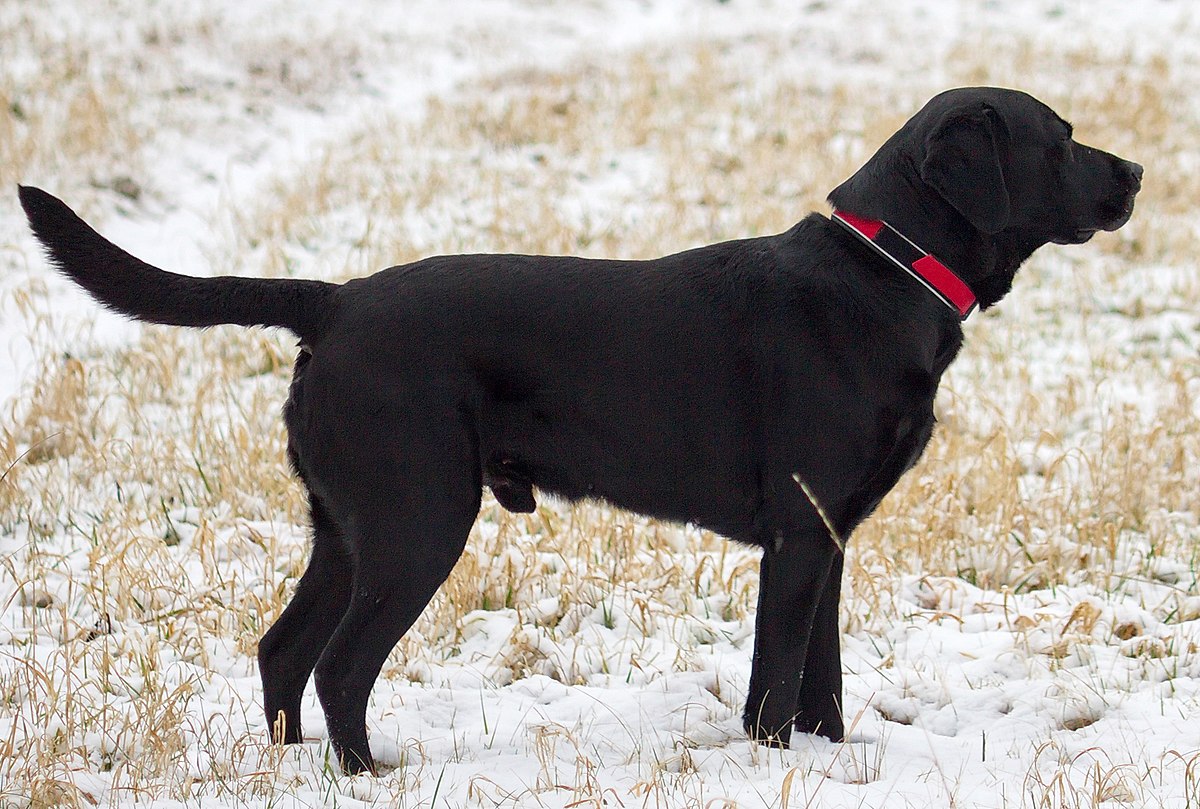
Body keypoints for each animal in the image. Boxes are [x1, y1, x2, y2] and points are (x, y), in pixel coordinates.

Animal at [21, 85, 1142, 772]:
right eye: (1058, 139)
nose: (1134, 174)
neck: (884, 271)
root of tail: (332, 303)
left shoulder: (828, 533)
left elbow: (820, 675)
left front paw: (831, 759)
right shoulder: (796, 535)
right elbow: (776, 680)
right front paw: (774, 763)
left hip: (346, 527)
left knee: (280, 648)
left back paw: (298, 767)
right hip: (420, 520)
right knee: (338, 661)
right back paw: (368, 773)